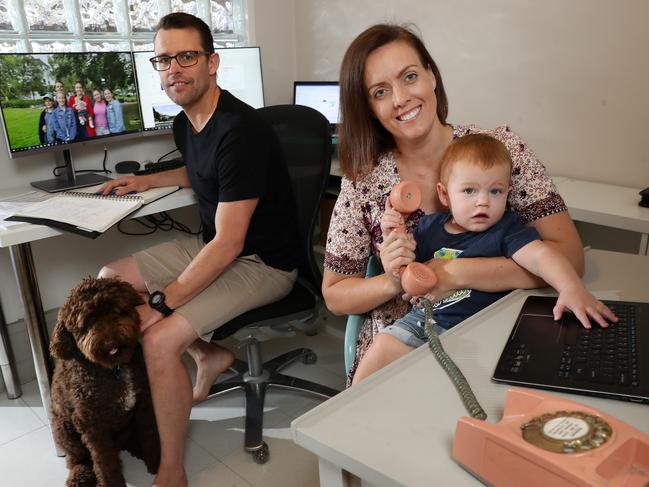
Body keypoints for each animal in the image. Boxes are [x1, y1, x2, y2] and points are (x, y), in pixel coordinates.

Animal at [50, 278, 160, 487]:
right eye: (86, 323)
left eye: (113, 308)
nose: (109, 342)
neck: (114, 369)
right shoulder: (92, 425)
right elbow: (104, 461)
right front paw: (111, 482)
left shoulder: (144, 404)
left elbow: (150, 435)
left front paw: (157, 461)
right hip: (64, 430)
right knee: (76, 458)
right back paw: (81, 476)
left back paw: (137, 448)